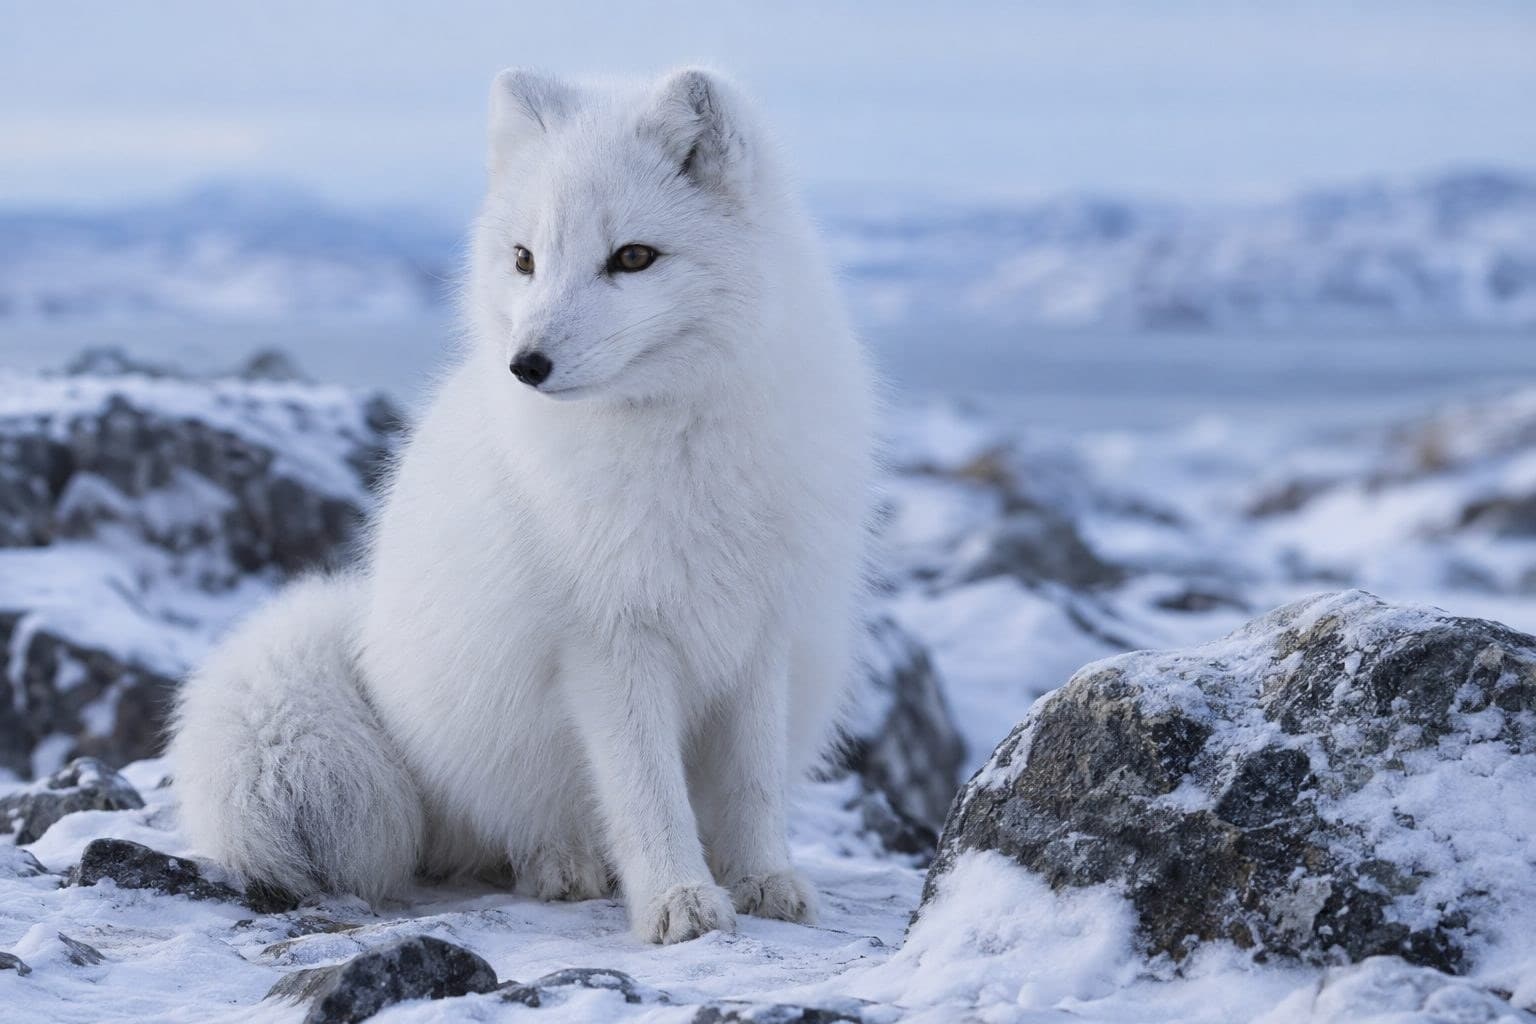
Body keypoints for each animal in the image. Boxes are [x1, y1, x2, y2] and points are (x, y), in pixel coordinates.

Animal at [168, 67, 876, 944]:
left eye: (633, 257)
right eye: (524, 258)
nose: (525, 364)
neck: (676, 441)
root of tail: (365, 640)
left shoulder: (762, 632)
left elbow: (755, 784)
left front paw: (761, 879)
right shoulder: (607, 642)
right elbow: (646, 791)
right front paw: (678, 898)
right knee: (510, 837)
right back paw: (561, 865)